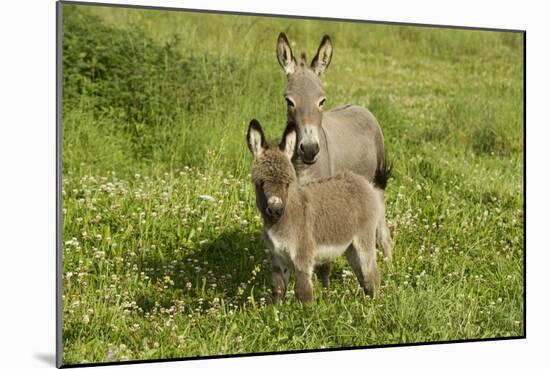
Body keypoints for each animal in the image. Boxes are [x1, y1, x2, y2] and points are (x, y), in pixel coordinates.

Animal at [246, 119, 392, 304]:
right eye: (260, 183)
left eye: (287, 183)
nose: (275, 210)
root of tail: (363, 182)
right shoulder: (278, 259)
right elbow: (277, 289)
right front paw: (275, 311)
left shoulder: (303, 255)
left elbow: (303, 293)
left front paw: (308, 311)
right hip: (350, 246)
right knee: (362, 274)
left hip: (364, 237)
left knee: (371, 274)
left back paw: (374, 305)